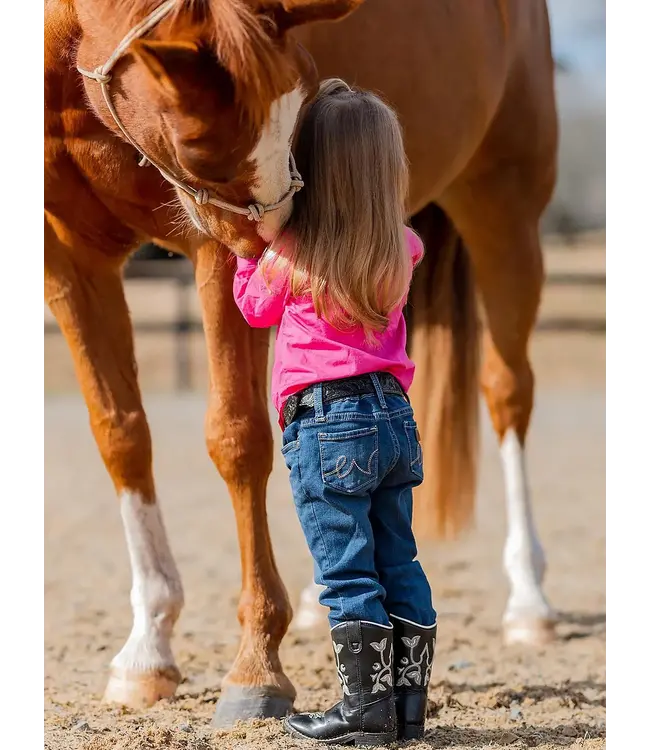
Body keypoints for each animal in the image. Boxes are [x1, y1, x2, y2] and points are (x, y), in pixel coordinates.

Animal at [43, 0, 556, 732]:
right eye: (200, 144)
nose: (286, 245)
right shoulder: (69, 254)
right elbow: (121, 435)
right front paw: (147, 651)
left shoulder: (214, 252)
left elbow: (237, 439)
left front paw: (256, 666)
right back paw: (320, 601)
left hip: (504, 211)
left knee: (508, 393)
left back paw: (529, 602)